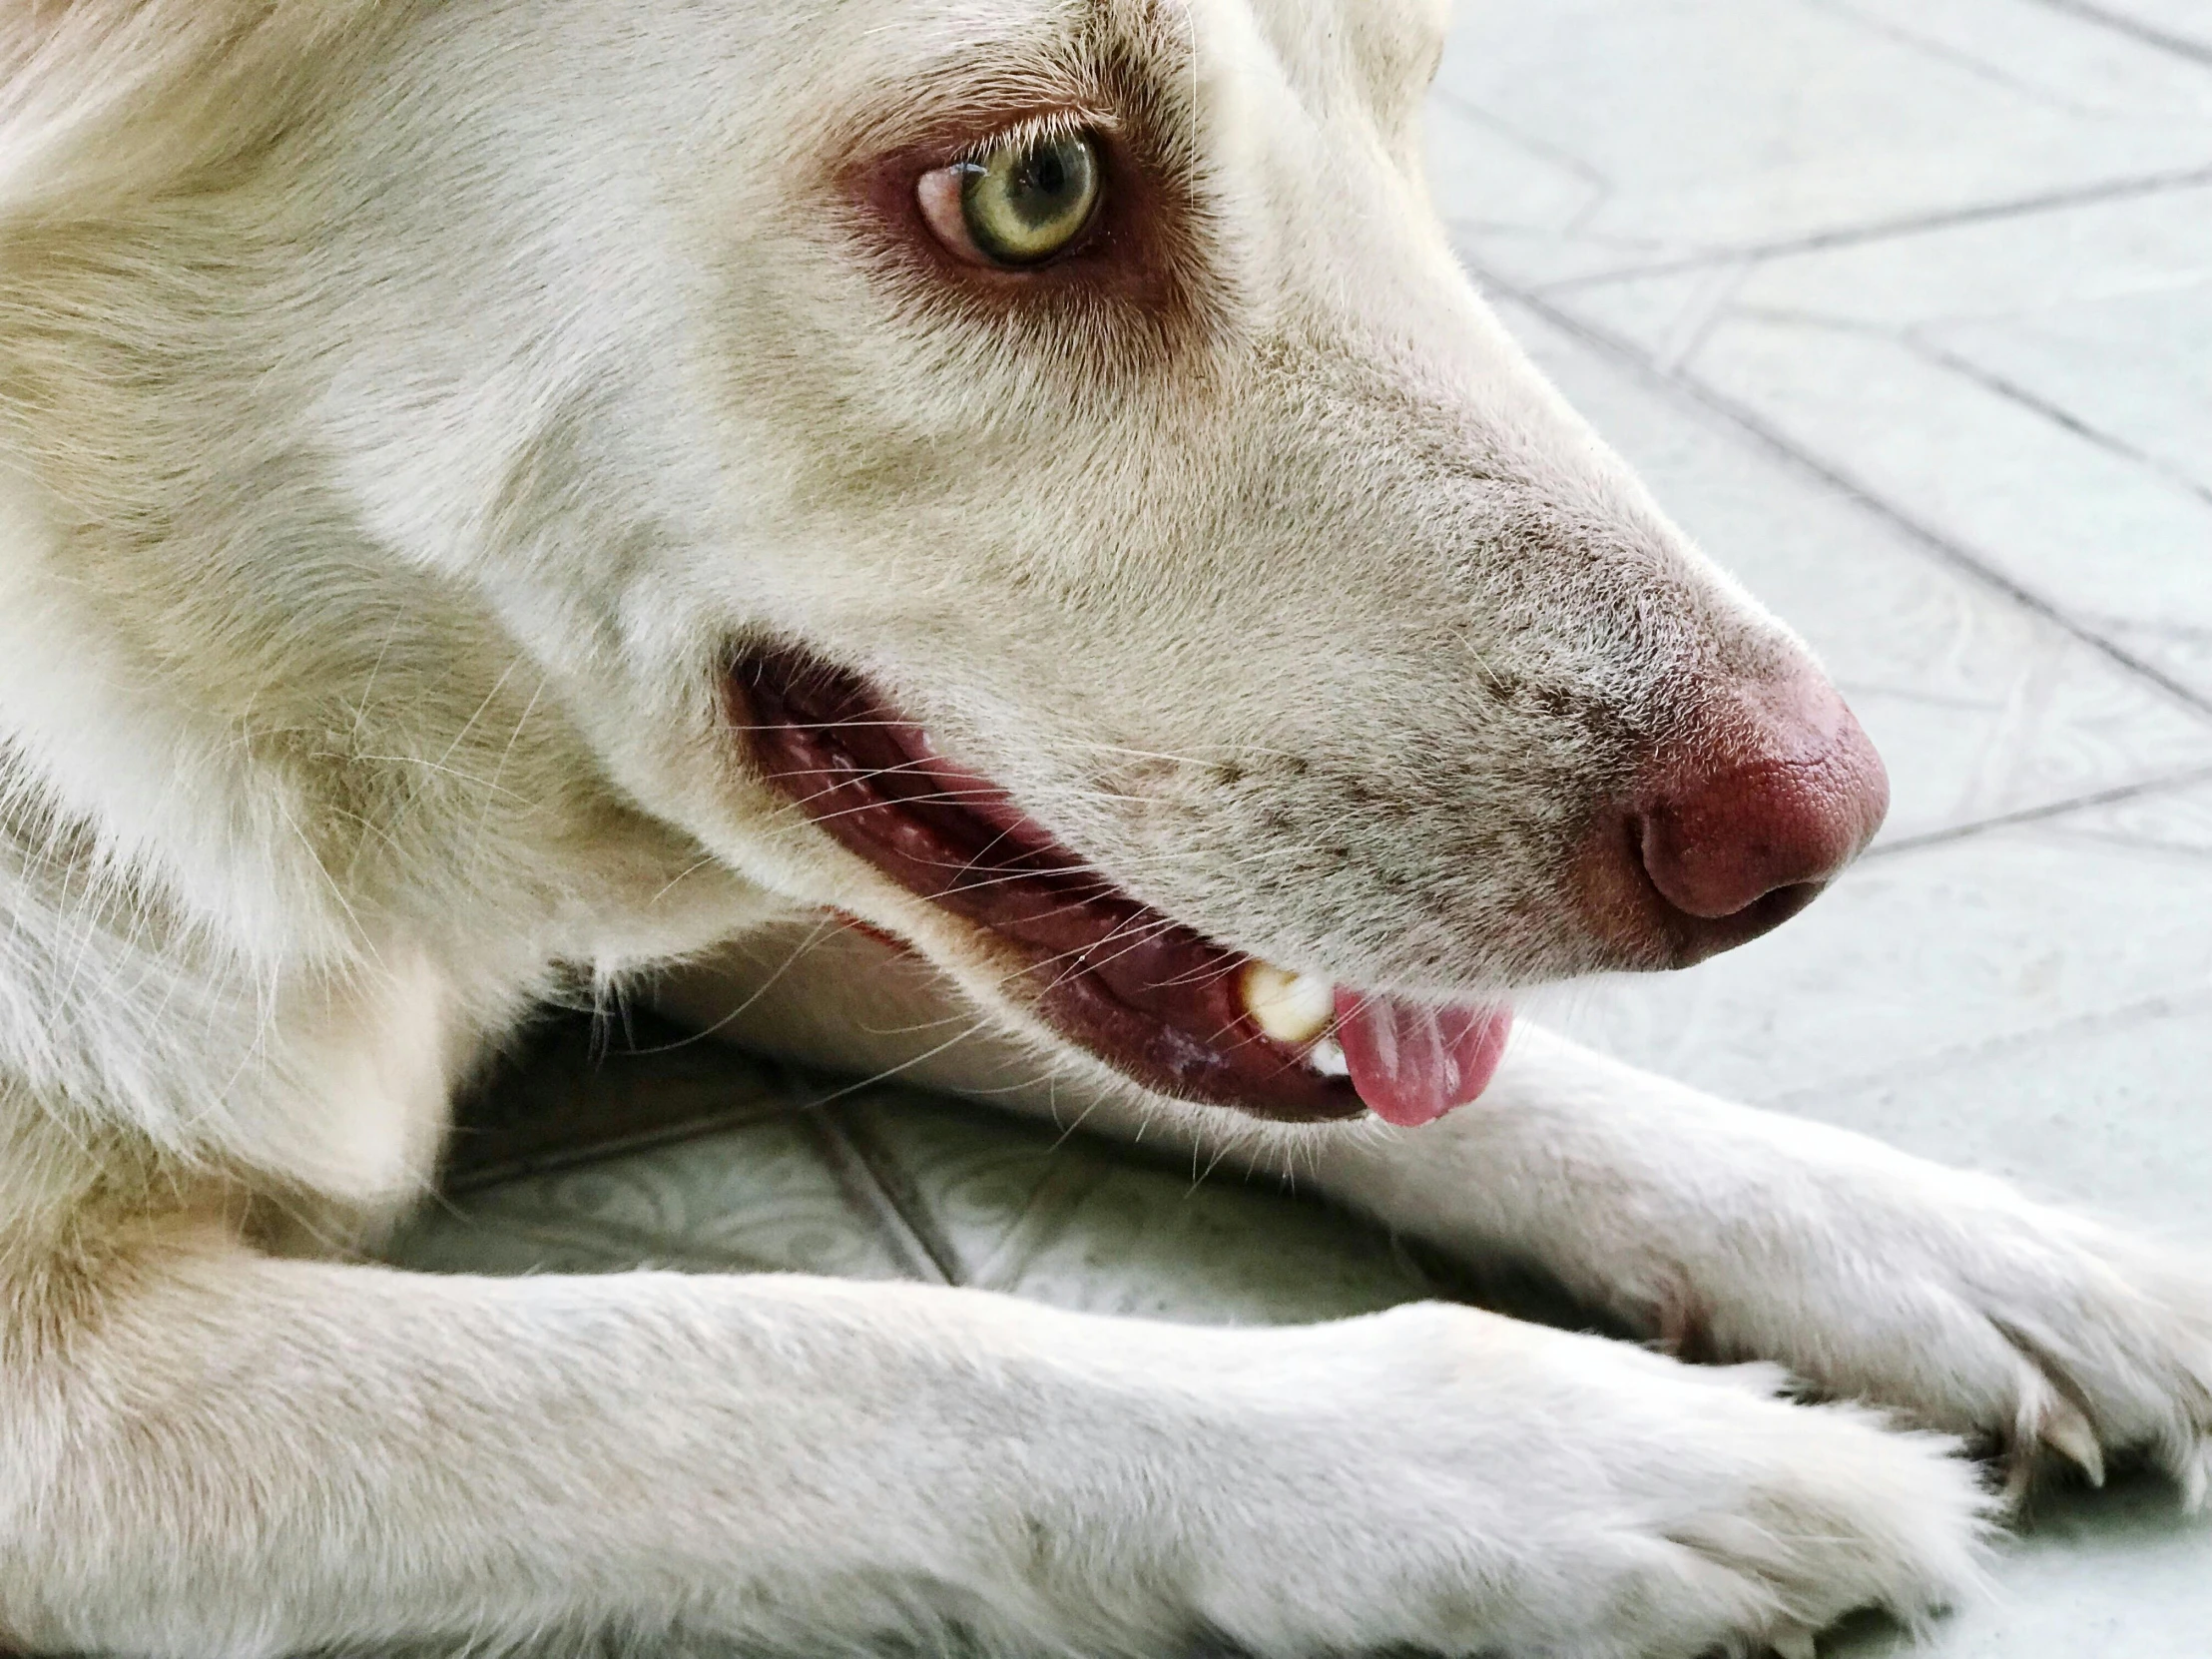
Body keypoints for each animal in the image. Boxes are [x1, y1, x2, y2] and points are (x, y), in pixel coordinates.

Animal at [4, 0, 2212, 1654]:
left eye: (1412, 90)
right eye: (1034, 185)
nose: (1814, 840)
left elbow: (1501, 1084)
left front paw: (1948, 1241)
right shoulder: (66, 1412)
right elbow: (814, 1347)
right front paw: (1600, 1461)